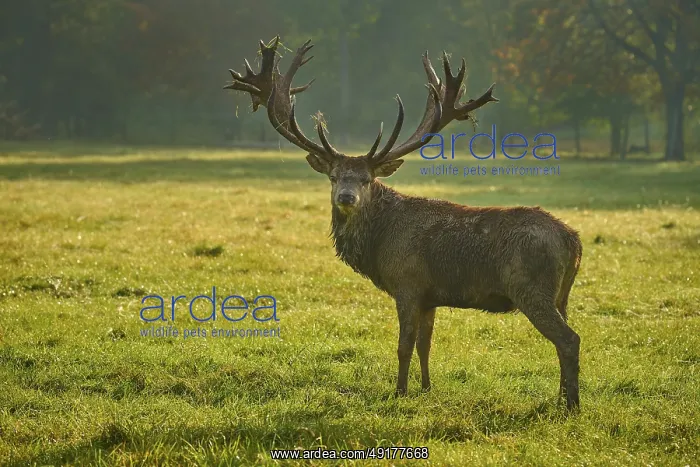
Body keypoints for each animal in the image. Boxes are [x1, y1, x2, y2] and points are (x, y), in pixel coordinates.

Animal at [224, 37, 583, 410]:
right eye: (334, 177)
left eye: (367, 179)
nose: (346, 197)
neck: (378, 245)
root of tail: (574, 241)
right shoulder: (430, 295)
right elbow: (426, 344)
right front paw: (425, 387)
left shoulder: (407, 283)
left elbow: (404, 345)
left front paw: (399, 391)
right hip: (561, 294)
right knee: (564, 339)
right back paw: (560, 398)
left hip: (531, 287)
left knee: (569, 339)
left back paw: (571, 405)